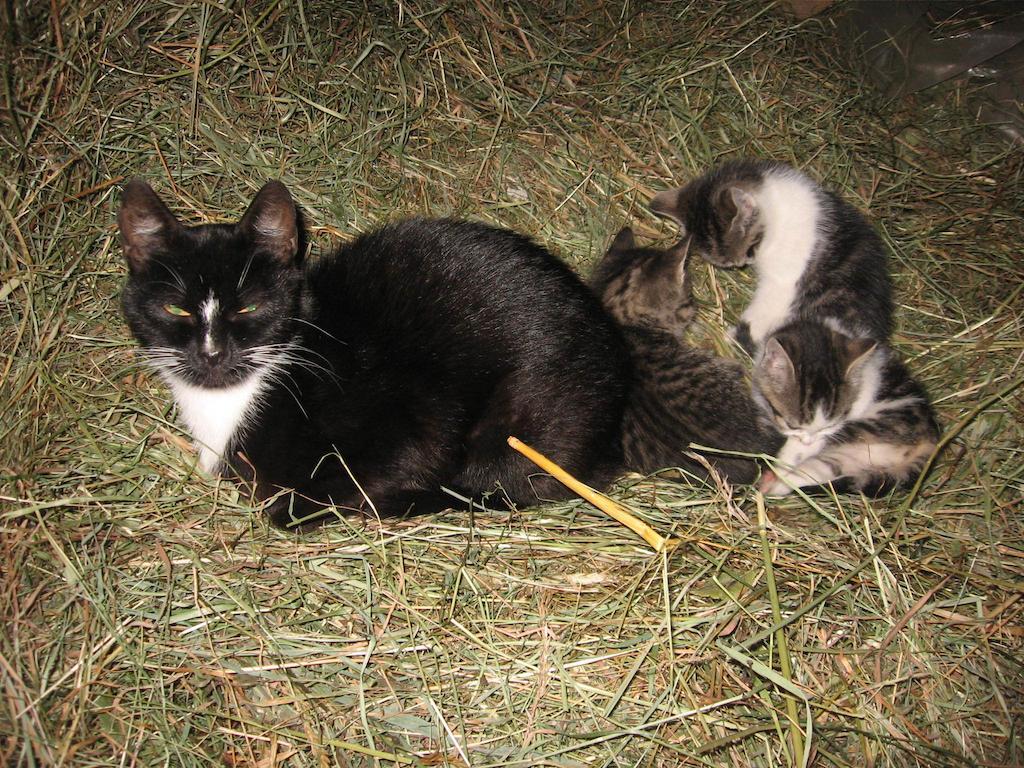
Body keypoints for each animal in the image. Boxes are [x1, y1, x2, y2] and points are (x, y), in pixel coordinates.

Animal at [651, 162, 892, 358]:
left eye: (748, 250)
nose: (738, 264)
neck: (777, 211)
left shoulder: (784, 280)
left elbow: (763, 312)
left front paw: (735, 337)